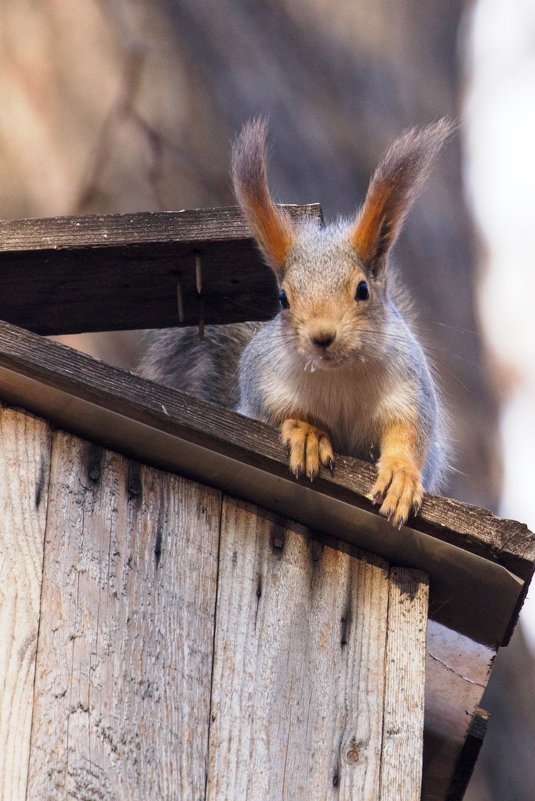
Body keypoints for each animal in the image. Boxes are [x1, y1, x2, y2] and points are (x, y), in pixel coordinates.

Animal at [140, 119, 450, 528]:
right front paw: (306, 433)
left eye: (362, 289)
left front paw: (400, 476)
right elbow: (272, 414)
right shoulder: (264, 382)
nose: (322, 336)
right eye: (283, 298)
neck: (339, 374)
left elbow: (410, 434)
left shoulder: (410, 389)